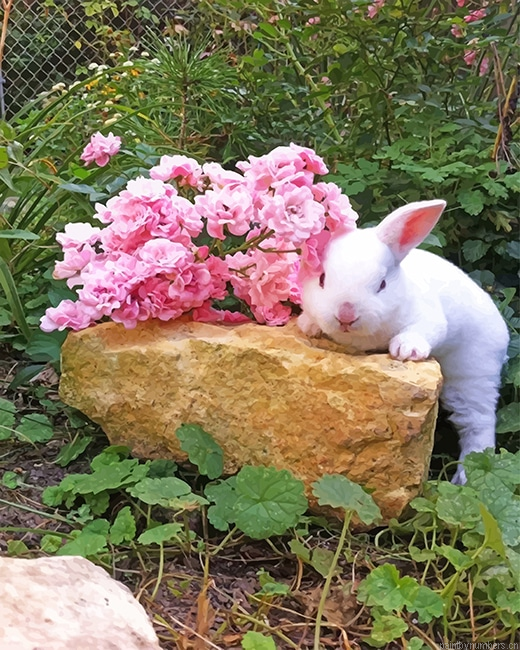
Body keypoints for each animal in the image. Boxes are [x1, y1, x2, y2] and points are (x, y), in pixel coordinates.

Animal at [298, 199, 510, 484]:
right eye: (321, 279)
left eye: (382, 284)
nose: (346, 315)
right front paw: (308, 325)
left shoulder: (429, 318)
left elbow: (423, 330)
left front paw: (406, 350)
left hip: (473, 373)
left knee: (479, 425)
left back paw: (463, 478)